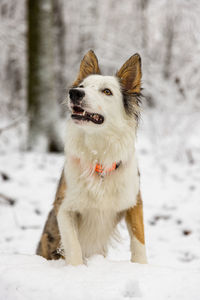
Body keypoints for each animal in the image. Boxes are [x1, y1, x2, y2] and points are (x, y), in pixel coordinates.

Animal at [36, 50, 148, 266]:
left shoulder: (133, 202)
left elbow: (139, 240)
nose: (74, 93)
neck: (99, 156)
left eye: (107, 91)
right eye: (81, 87)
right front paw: (77, 269)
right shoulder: (64, 207)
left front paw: (142, 266)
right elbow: (73, 247)